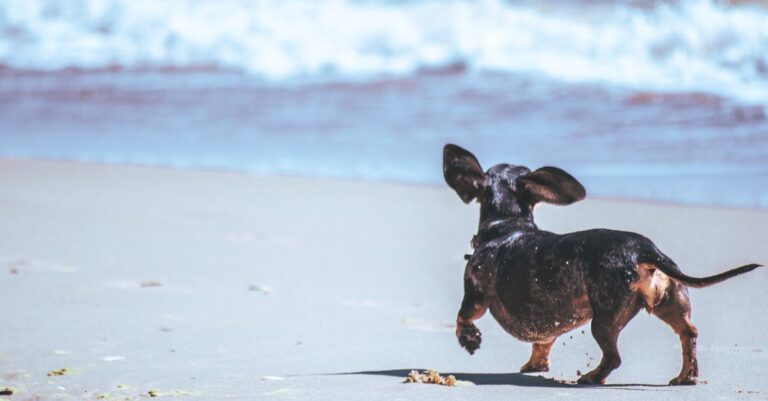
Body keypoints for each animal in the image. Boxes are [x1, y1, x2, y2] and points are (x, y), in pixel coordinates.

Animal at [444, 144, 760, 384]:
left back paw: (591, 377)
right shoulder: (545, 327)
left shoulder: (475, 296)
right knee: (688, 334)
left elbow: (462, 317)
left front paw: (469, 339)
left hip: (604, 318)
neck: (507, 225)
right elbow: (542, 343)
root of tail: (643, 248)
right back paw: (686, 376)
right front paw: (536, 364)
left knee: (613, 358)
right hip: (669, 301)